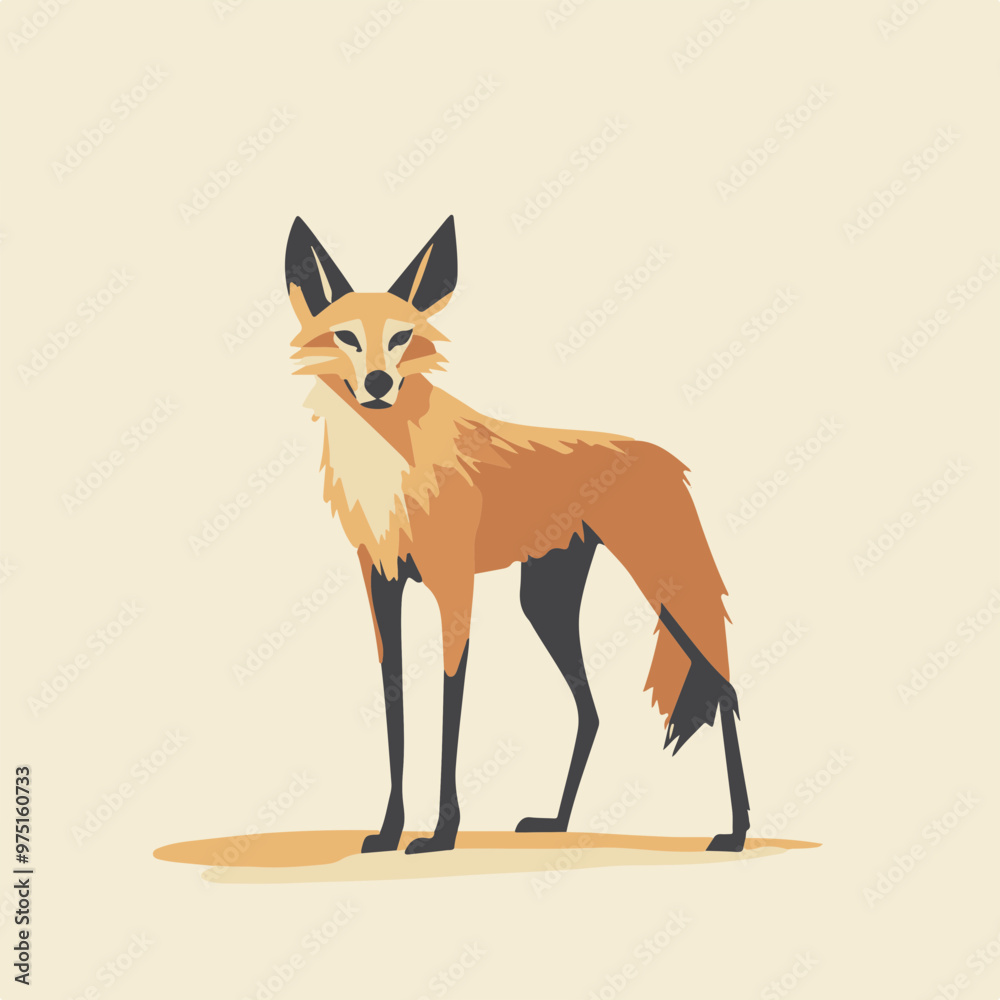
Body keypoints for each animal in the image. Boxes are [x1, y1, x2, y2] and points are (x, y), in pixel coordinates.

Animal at [284, 215, 750, 855]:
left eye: (402, 337)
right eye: (347, 338)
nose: (378, 382)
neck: (394, 466)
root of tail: (667, 460)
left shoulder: (455, 588)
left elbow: (451, 707)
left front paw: (441, 834)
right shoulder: (382, 586)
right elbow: (394, 704)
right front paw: (389, 831)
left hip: (661, 594)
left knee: (725, 689)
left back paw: (736, 832)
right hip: (545, 603)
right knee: (591, 711)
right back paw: (557, 822)